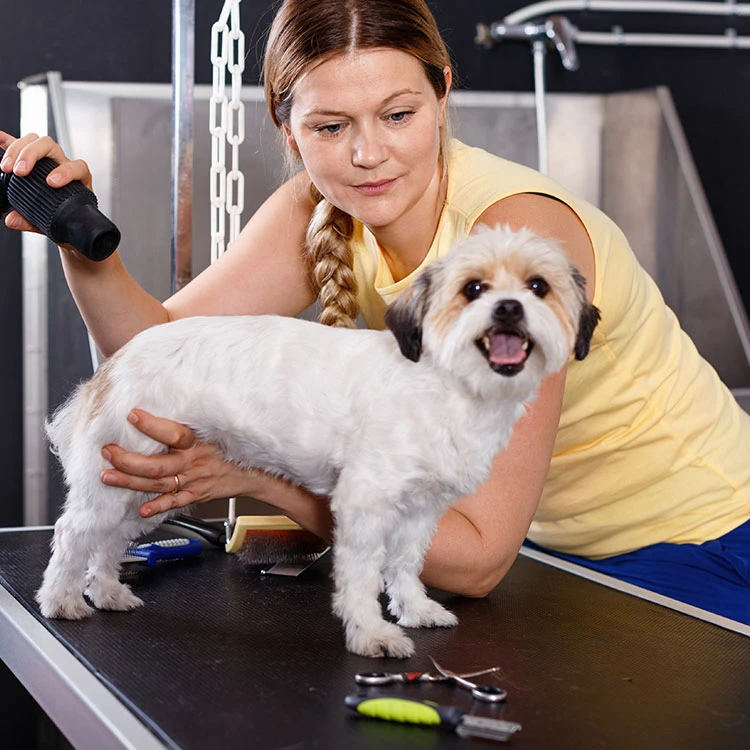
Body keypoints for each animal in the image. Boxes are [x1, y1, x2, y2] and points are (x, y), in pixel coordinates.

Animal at [36, 226, 600, 660]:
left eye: (538, 286)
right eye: (473, 288)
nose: (508, 308)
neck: (451, 386)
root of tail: (116, 364)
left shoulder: (421, 510)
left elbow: (405, 565)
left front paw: (415, 609)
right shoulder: (364, 504)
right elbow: (362, 577)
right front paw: (370, 634)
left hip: (145, 490)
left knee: (109, 541)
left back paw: (107, 590)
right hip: (117, 477)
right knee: (72, 533)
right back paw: (61, 599)